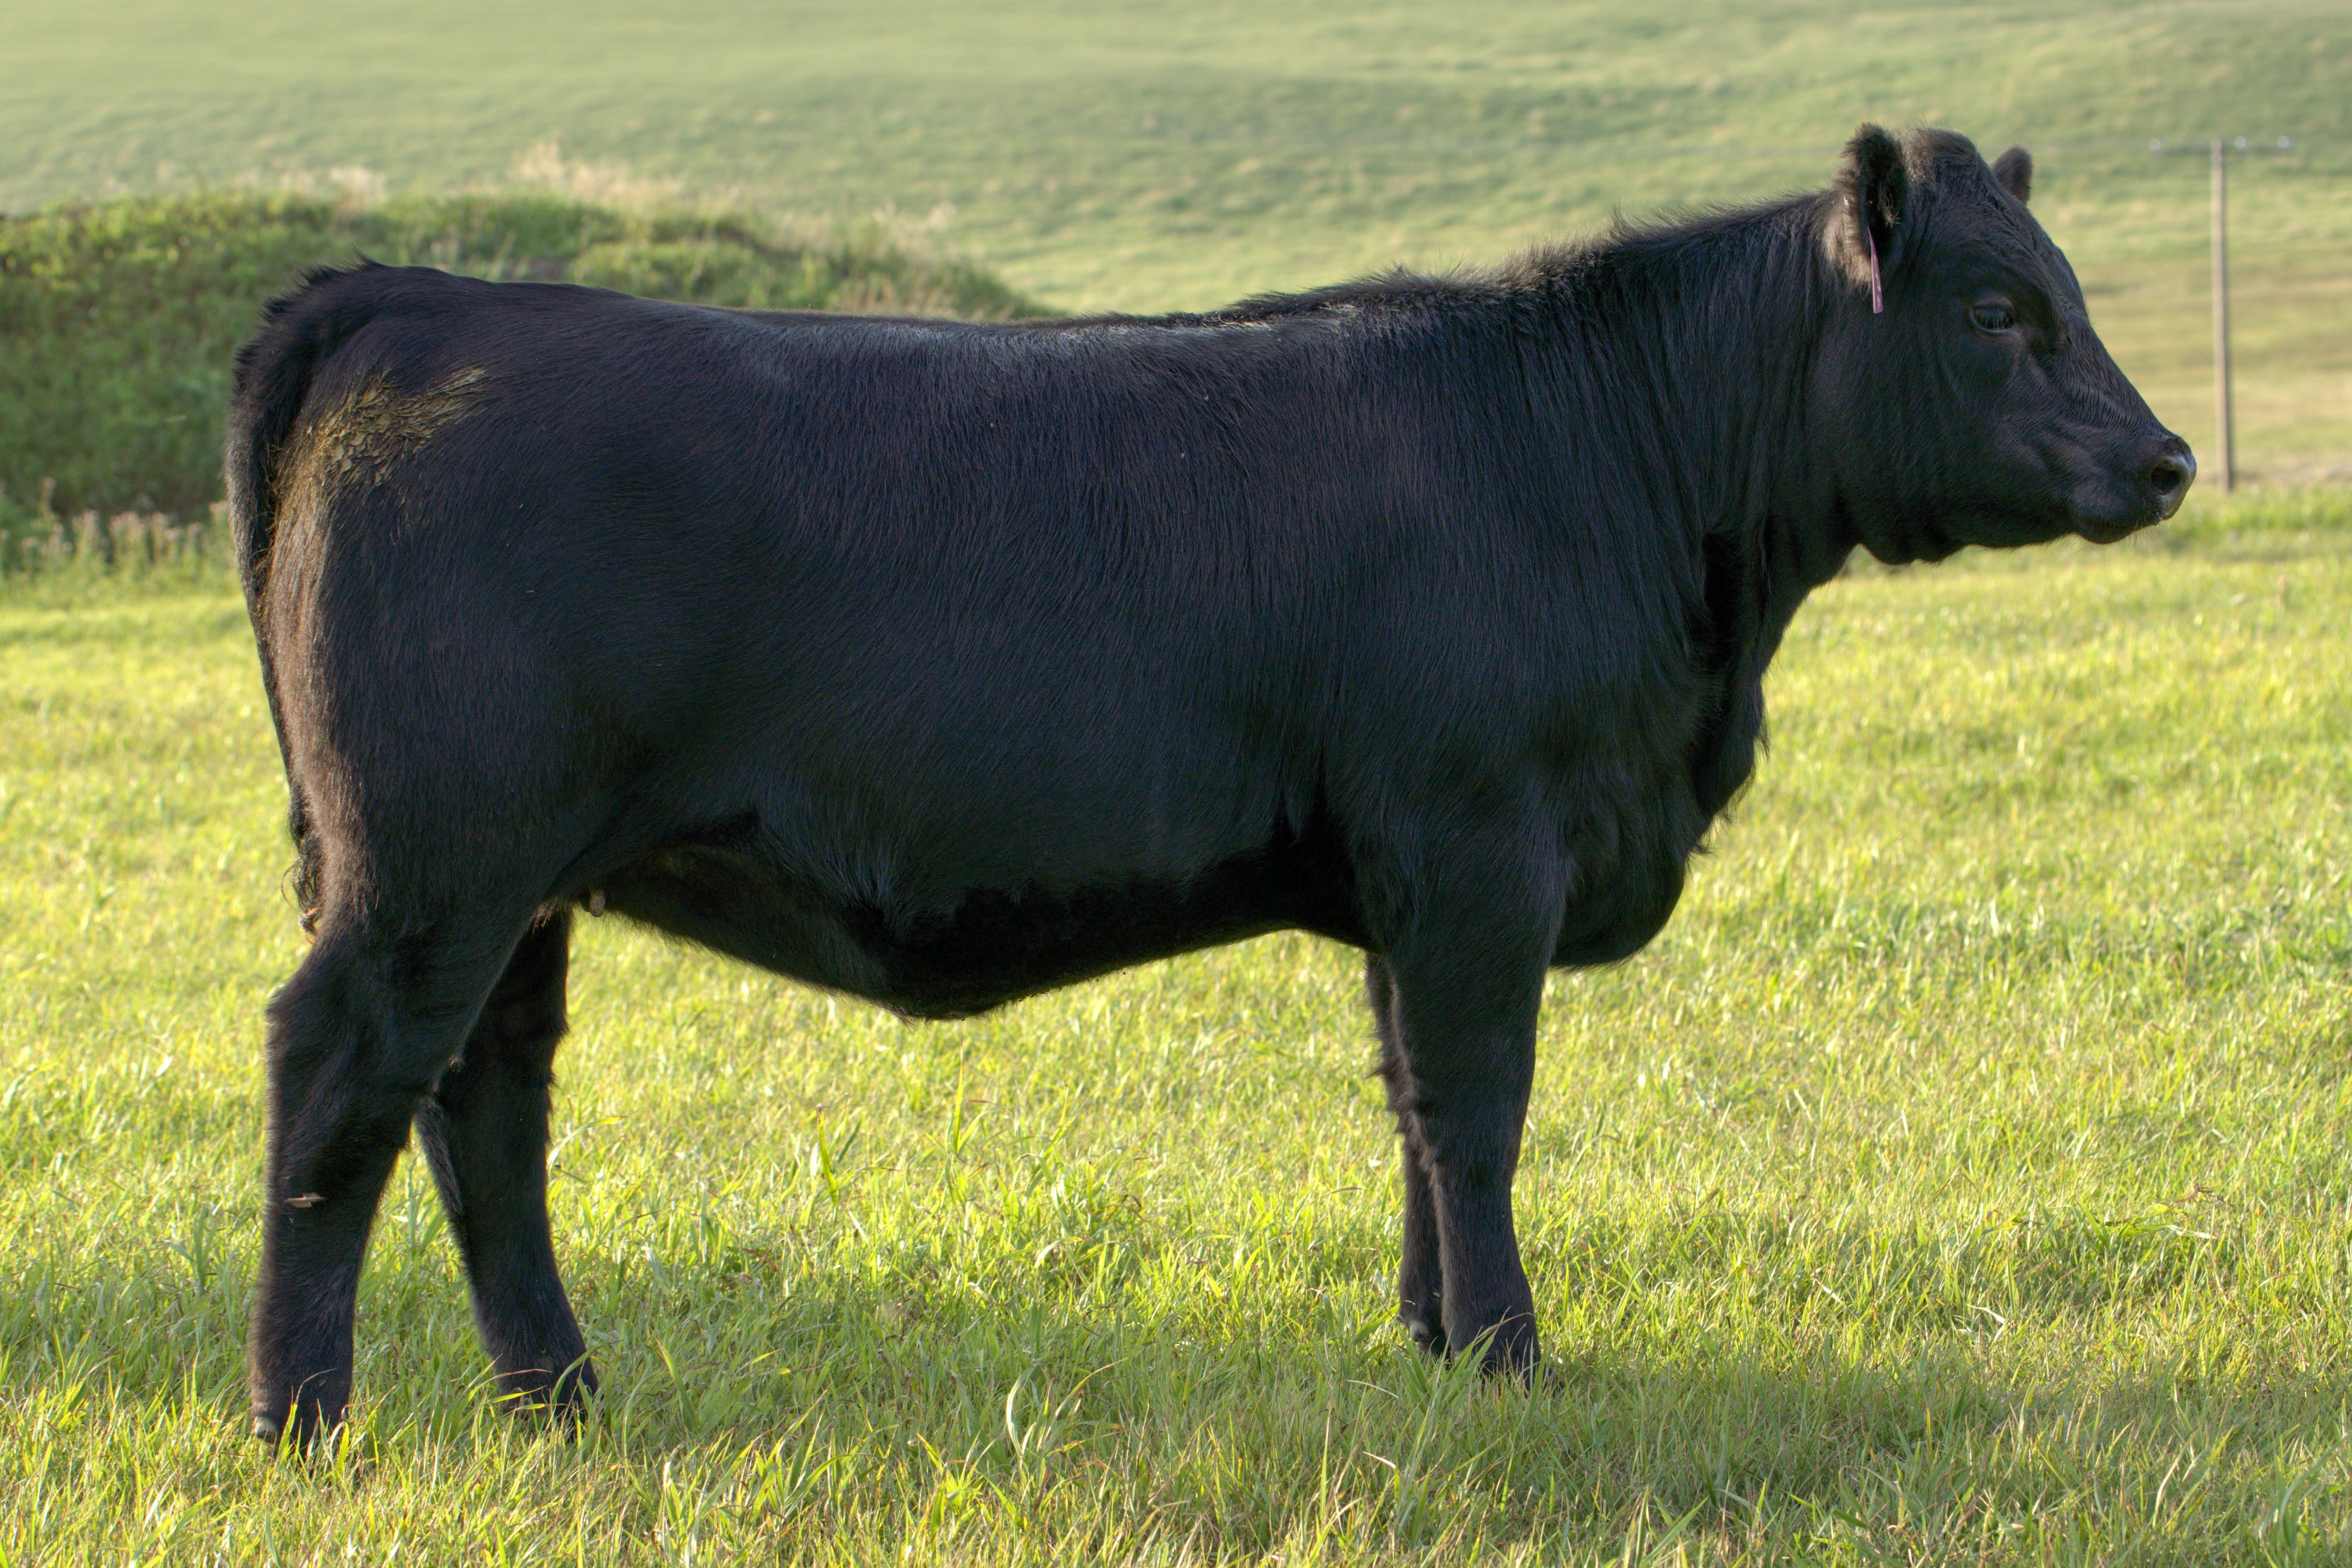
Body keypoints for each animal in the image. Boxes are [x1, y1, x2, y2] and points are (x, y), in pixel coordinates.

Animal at [226, 125, 2192, 1445]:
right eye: (1999, 308)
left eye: (2067, 297)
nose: (2167, 457)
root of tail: (419, 295)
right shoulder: (1481, 847)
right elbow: (1478, 1110)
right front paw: (1512, 1359)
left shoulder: (1410, 874)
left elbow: (1408, 1107)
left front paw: (1432, 1342)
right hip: (434, 866)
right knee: (343, 1083)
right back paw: (303, 1419)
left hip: (507, 886)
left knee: (487, 1108)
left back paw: (558, 1395)